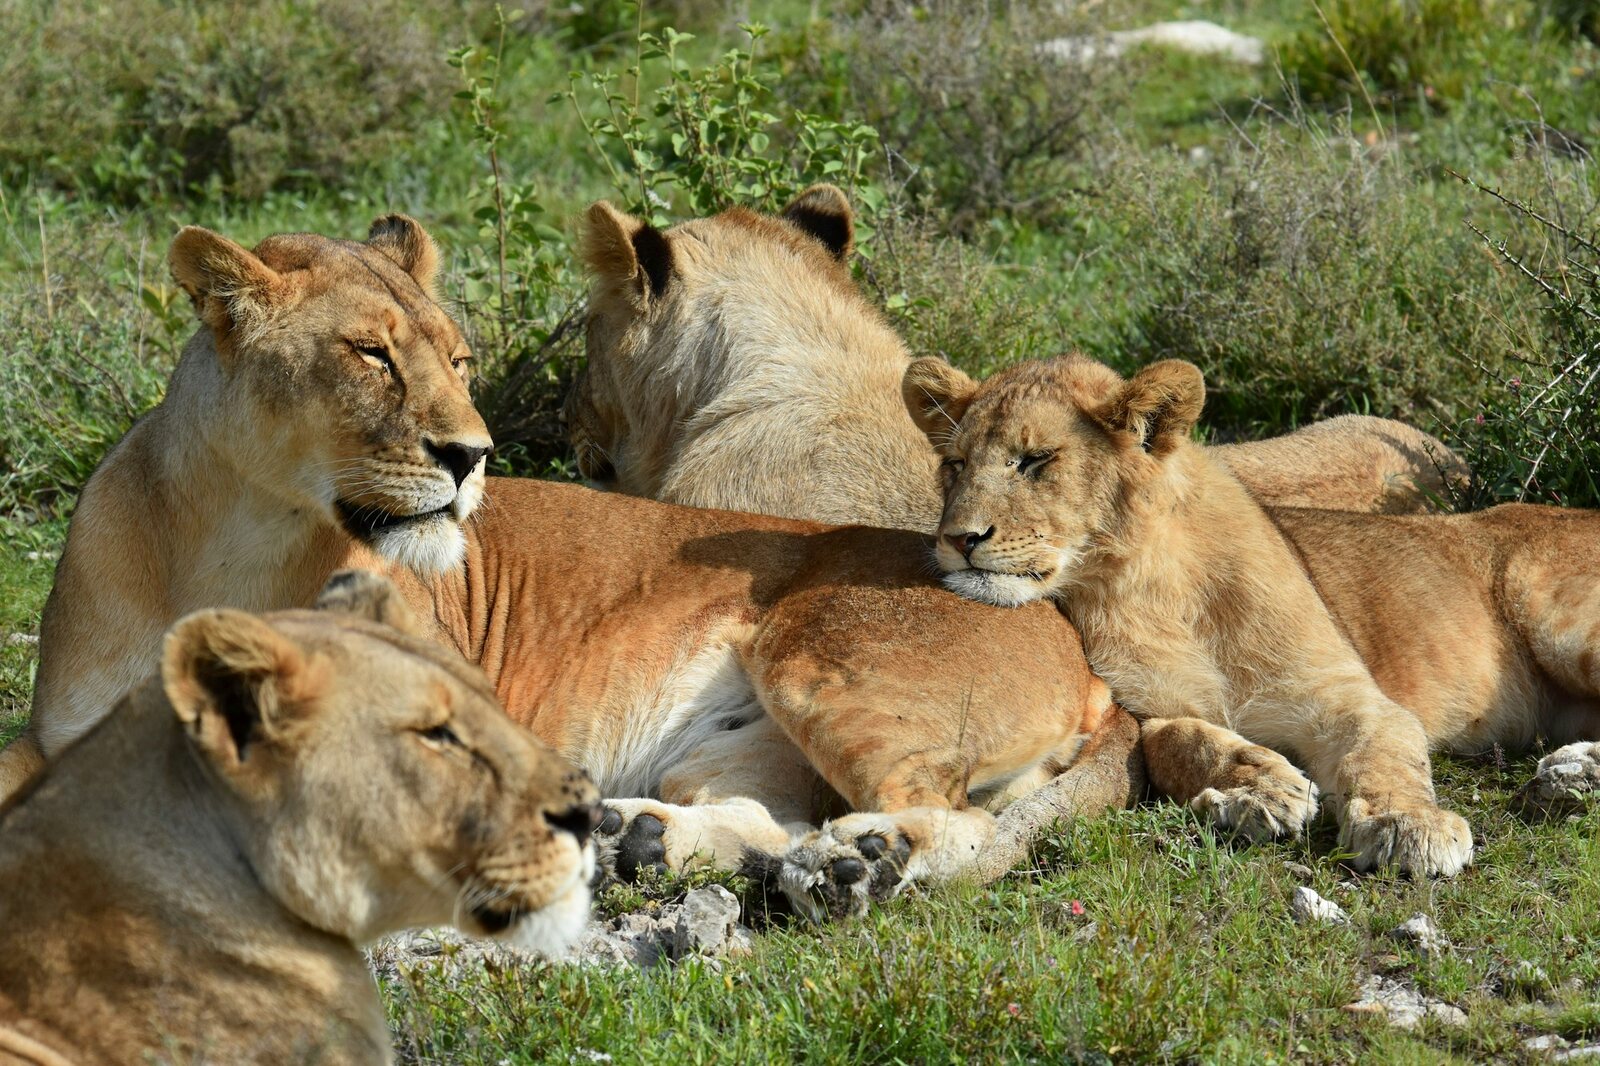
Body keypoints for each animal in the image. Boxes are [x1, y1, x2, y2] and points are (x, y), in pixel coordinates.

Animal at [0, 217, 1139, 921]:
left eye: (456, 359)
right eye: (372, 354)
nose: (473, 455)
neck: (235, 538)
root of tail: (1080, 653)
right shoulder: (54, 737)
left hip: (823, 656)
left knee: (960, 823)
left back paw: (858, 864)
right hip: (726, 747)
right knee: (774, 815)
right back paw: (642, 839)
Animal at [903, 352, 1600, 878]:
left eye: (1035, 460)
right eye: (955, 465)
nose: (958, 539)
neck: (1150, 588)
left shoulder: (1349, 695)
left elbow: (1382, 753)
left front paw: (1411, 826)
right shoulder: (1148, 711)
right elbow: (1182, 743)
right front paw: (1261, 789)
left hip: (1562, 627)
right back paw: (1573, 772)